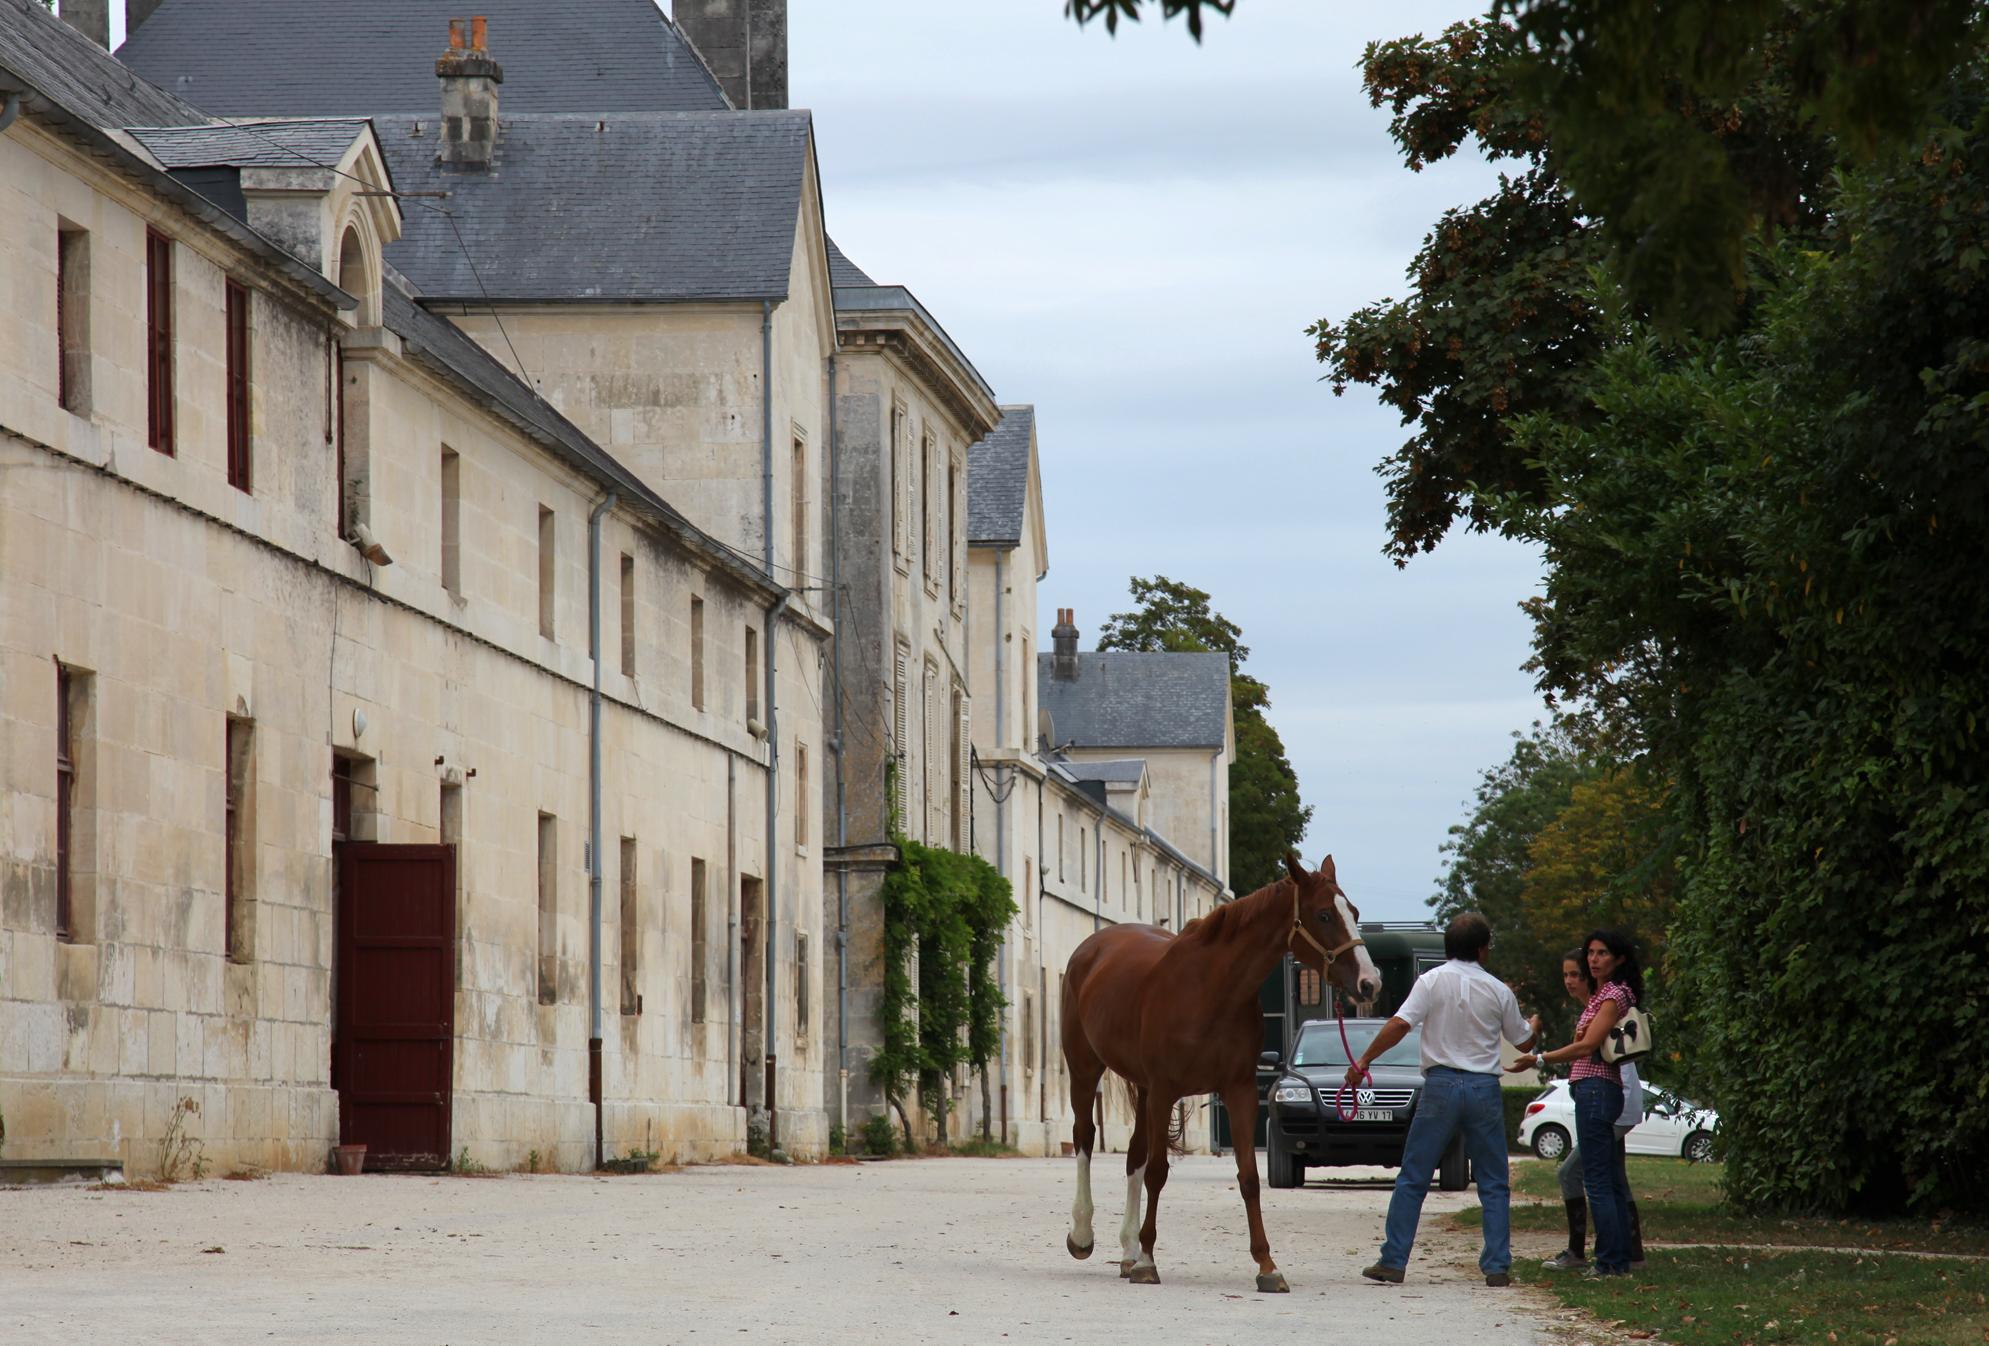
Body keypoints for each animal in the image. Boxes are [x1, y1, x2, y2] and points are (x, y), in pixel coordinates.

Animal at [1058, 854, 1384, 1288]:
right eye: (1325, 915)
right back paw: (1083, 1235)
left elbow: (1248, 1178)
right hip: (1085, 1067)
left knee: (1134, 1156)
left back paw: (1127, 1251)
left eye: (1356, 912)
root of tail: (1091, 950)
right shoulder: (1165, 1090)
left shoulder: (1238, 1090)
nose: (1370, 983)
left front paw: (1267, 1265)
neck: (1211, 990)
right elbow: (1158, 1172)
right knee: (1085, 1138)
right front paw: (1148, 1261)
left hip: (1142, 1089)